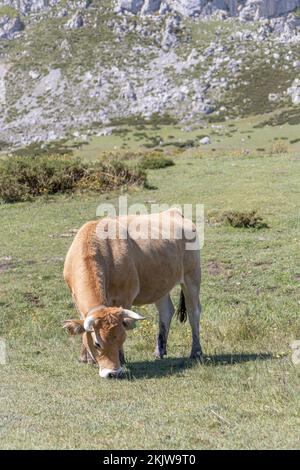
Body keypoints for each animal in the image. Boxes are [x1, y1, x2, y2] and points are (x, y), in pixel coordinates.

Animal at [63, 209, 203, 378]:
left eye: (122, 339)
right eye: (97, 344)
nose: (113, 373)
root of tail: (173, 211)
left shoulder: (124, 297)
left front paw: (121, 359)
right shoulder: (76, 298)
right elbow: (84, 326)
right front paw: (85, 358)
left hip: (191, 277)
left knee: (194, 312)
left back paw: (196, 352)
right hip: (161, 284)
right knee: (166, 311)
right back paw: (159, 351)